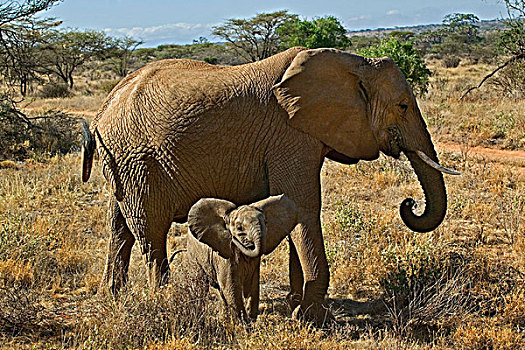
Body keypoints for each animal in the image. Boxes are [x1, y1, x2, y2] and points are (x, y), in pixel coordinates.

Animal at [80, 46, 456, 322]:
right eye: (403, 106)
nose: (409, 204)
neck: (353, 64)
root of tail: (102, 111)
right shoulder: (290, 136)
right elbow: (304, 207)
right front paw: (310, 318)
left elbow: (292, 210)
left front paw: (296, 306)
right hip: (138, 161)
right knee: (150, 232)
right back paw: (164, 303)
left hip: (121, 163)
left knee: (120, 227)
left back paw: (111, 298)